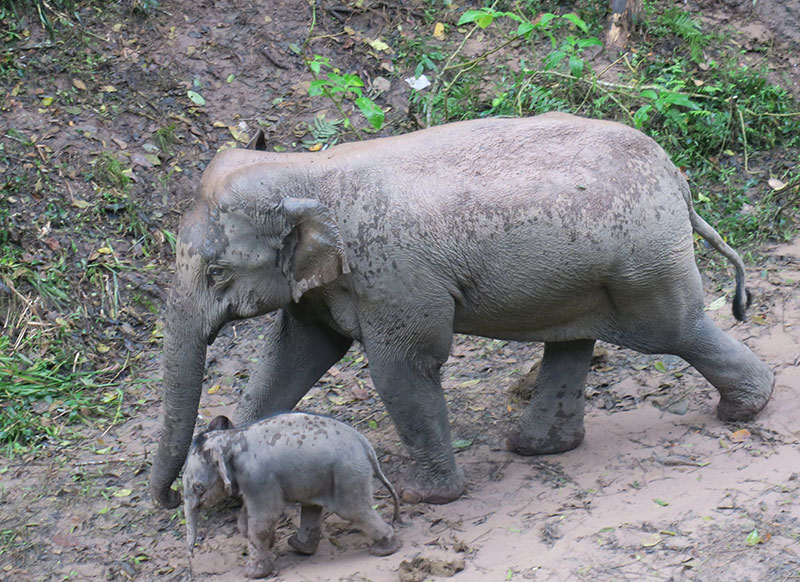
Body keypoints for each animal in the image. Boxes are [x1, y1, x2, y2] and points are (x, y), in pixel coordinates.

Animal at [147, 110, 772, 512]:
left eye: (217, 273)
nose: (165, 500)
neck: (305, 169)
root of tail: (678, 180)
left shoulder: (392, 276)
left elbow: (403, 370)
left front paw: (426, 497)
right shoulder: (323, 286)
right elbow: (291, 357)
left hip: (642, 261)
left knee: (675, 330)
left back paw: (747, 407)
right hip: (586, 273)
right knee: (574, 341)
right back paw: (537, 448)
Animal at [184, 412, 404, 580]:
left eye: (197, 487)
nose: (191, 556)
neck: (232, 437)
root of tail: (364, 443)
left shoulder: (259, 478)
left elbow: (265, 518)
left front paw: (253, 573)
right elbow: (246, 519)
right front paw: (270, 545)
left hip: (347, 473)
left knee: (354, 511)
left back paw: (384, 549)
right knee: (313, 506)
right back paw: (300, 547)